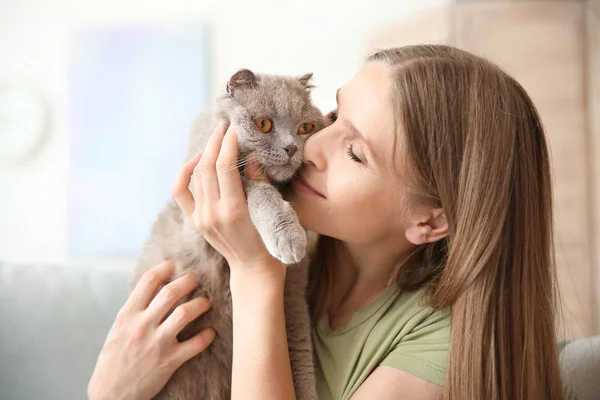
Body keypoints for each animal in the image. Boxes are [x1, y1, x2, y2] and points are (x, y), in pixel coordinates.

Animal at [132, 69, 324, 400]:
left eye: (306, 128)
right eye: (263, 124)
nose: (292, 148)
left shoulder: (292, 297)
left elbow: (300, 355)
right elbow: (257, 190)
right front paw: (288, 236)